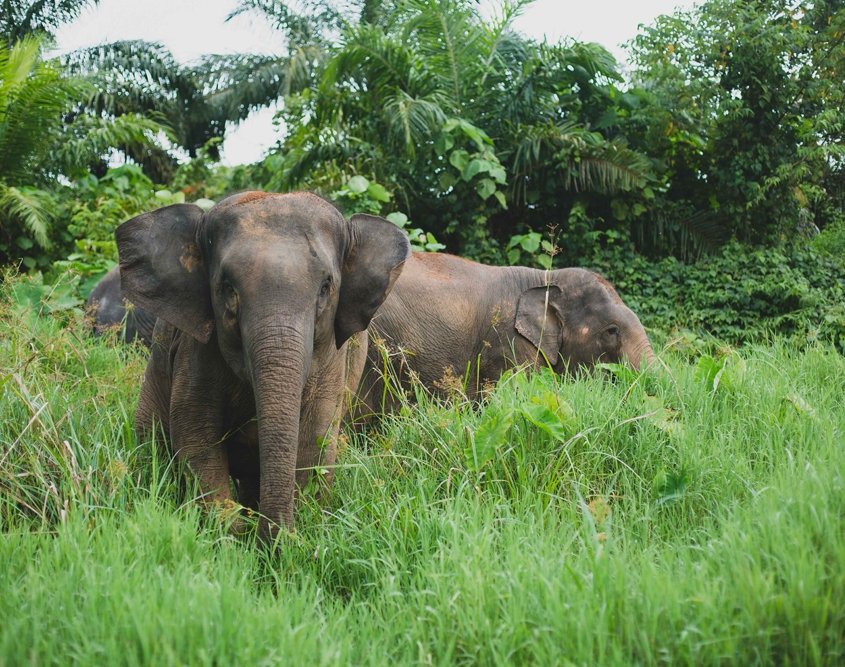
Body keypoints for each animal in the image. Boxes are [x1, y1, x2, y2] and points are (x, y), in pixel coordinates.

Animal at [116, 191, 410, 542]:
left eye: (326, 287)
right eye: (227, 288)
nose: (267, 540)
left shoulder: (331, 356)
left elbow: (315, 436)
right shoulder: (198, 347)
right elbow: (194, 429)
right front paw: (233, 531)